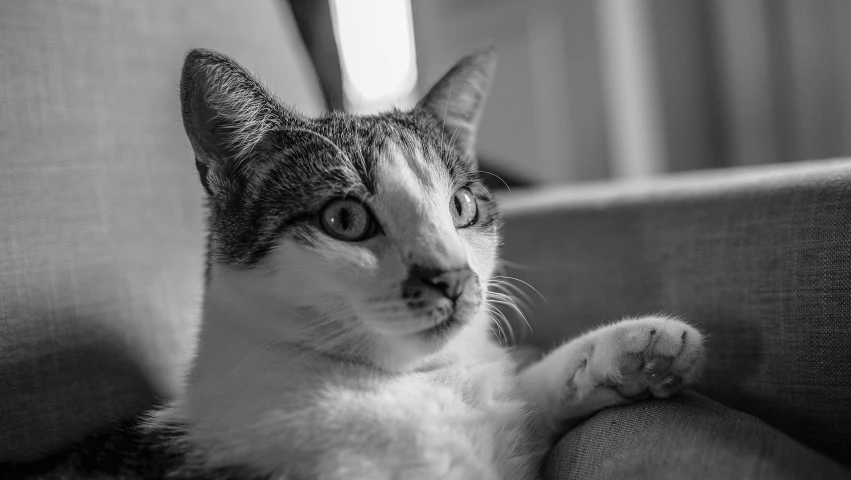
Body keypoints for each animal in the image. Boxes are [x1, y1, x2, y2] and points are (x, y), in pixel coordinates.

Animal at [6, 46, 704, 480]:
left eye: (461, 205)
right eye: (344, 219)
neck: (405, 381)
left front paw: (638, 347)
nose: (452, 277)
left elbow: (522, 393)